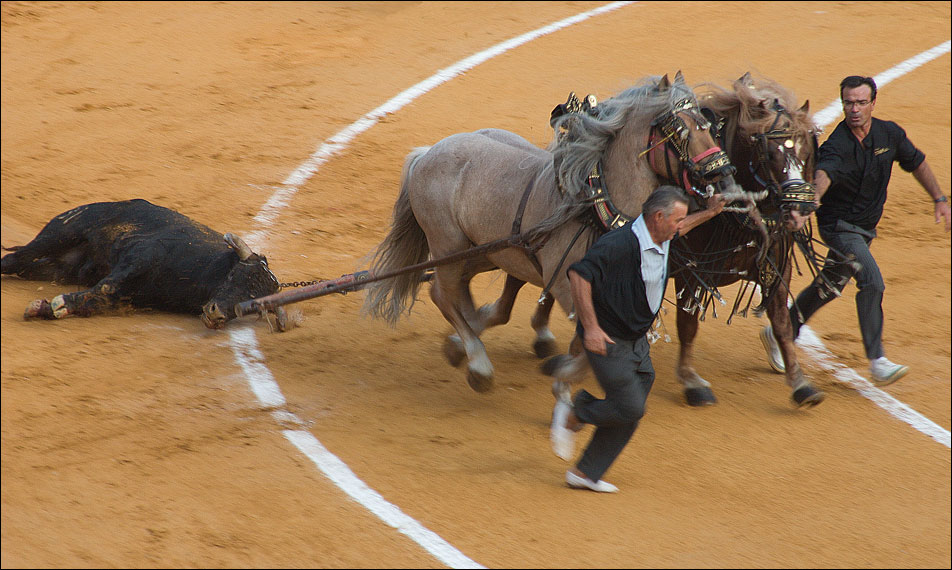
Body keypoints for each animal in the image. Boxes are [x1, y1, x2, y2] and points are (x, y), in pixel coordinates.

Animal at [1, 197, 288, 328]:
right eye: (235, 276)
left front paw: (48, 308)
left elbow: (99, 299)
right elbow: (106, 287)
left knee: (24, 266)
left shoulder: (136, 295)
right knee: (15, 258)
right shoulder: (140, 257)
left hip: (59, 268)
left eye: (255, 304)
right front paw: (55, 304)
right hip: (61, 231)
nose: (217, 315)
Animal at [364, 72, 744, 390]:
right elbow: (589, 345)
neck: (595, 209)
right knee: (444, 295)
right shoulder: (566, 286)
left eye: (709, 126)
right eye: (681, 131)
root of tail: (428, 152)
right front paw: (562, 371)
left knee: (454, 292)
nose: (724, 178)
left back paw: (463, 341)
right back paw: (478, 364)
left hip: (486, 252)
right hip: (448, 247)